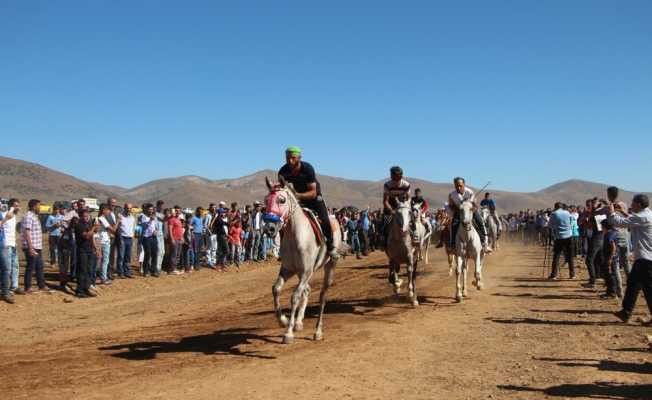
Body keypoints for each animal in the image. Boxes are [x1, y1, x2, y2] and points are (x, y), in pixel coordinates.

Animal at [266, 177, 344, 344]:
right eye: (266, 200)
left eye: (282, 200)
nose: (269, 228)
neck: (296, 236)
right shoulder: (288, 269)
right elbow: (276, 289)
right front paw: (283, 320)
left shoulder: (306, 271)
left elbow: (295, 296)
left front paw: (288, 333)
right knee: (306, 290)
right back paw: (298, 322)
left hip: (329, 266)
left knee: (322, 296)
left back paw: (317, 331)